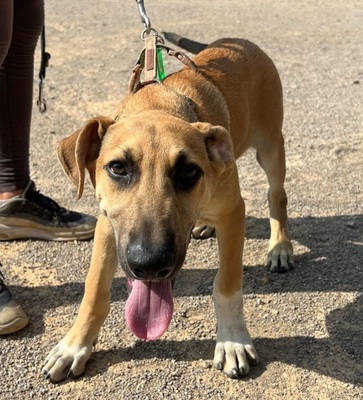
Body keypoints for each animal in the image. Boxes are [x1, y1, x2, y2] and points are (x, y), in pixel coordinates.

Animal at [41, 37, 294, 382]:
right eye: (118, 168)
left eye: (189, 172)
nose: (150, 264)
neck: (157, 106)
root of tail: (242, 42)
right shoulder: (107, 225)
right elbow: (94, 289)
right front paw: (74, 345)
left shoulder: (233, 212)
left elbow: (226, 284)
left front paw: (232, 341)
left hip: (270, 148)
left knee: (276, 195)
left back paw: (280, 247)